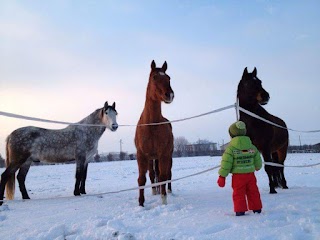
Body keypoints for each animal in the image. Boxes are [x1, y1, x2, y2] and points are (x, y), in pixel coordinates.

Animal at [135, 60, 175, 206]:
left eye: (168, 78)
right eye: (154, 77)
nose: (169, 95)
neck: (151, 125)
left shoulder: (163, 154)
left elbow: (163, 176)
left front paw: (163, 200)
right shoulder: (141, 155)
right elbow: (142, 179)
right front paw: (141, 203)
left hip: (168, 156)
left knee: (168, 174)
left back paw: (168, 190)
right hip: (152, 158)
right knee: (153, 174)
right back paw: (154, 191)